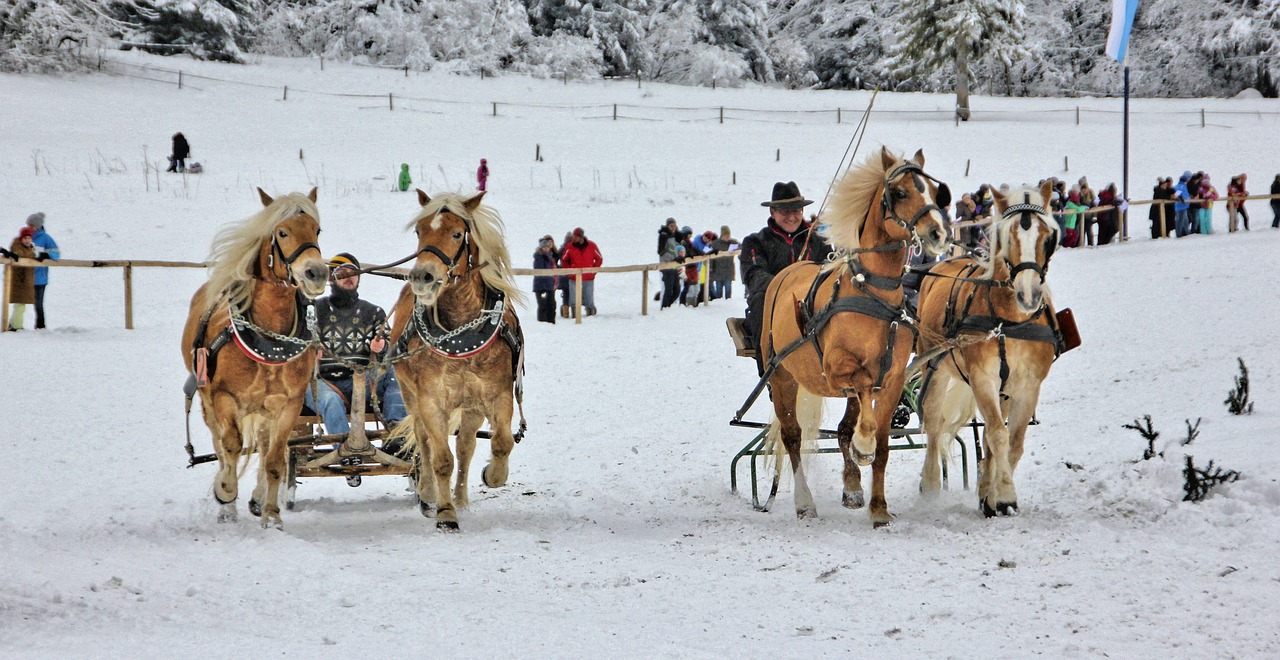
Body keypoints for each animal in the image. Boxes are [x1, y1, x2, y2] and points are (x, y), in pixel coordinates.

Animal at [183, 188, 327, 529]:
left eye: (316, 230)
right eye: (282, 232)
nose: (316, 273)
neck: (269, 339)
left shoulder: (288, 405)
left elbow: (275, 458)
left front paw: (271, 515)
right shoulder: (223, 397)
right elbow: (231, 446)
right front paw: (225, 492)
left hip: (264, 410)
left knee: (262, 444)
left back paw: (258, 498)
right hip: (209, 400)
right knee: (221, 444)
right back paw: (227, 504)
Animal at [391, 189, 527, 532]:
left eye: (456, 233)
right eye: (419, 231)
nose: (422, 276)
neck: (460, 332)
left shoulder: (497, 395)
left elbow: (502, 442)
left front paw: (493, 475)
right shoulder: (431, 401)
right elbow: (440, 458)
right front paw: (444, 512)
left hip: (471, 406)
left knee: (466, 445)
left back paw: (461, 498)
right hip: (411, 395)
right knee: (424, 441)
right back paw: (429, 493)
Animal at [757, 147, 952, 529]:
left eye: (936, 193)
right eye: (900, 193)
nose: (937, 233)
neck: (873, 293)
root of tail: (789, 270)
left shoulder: (892, 380)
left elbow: (881, 446)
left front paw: (878, 508)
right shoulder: (838, 370)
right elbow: (864, 402)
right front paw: (864, 447)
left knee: (843, 429)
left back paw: (852, 487)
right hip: (782, 377)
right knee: (793, 437)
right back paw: (805, 502)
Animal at [916, 180, 1064, 516]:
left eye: (1048, 236)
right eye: (1008, 235)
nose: (1028, 294)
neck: (1009, 321)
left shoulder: (1027, 385)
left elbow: (1013, 441)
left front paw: (994, 496)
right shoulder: (982, 378)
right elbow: (998, 434)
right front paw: (1006, 495)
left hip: (1003, 390)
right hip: (936, 367)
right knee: (933, 422)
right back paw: (929, 484)